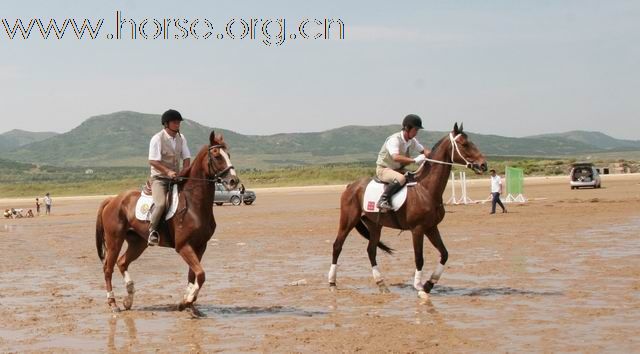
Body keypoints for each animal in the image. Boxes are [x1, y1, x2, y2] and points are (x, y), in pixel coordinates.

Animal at [94, 132, 236, 312]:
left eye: (228, 155)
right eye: (217, 156)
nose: (234, 181)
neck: (194, 203)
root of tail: (113, 200)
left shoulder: (200, 246)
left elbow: (193, 275)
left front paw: (188, 303)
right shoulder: (183, 246)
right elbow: (201, 274)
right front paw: (188, 300)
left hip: (138, 243)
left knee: (122, 263)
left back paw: (128, 299)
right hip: (114, 241)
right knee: (108, 268)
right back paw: (113, 304)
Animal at [328, 123, 488, 298]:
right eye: (464, 144)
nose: (483, 165)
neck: (426, 189)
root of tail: (351, 186)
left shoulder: (431, 227)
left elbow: (444, 254)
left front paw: (429, 284)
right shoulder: (417, 229)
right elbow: (419, 258)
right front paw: (420, 288)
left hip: (375, 225)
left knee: (371, 250)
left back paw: (381, 284)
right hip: (348, 220)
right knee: (337, 246)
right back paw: (332, 283)